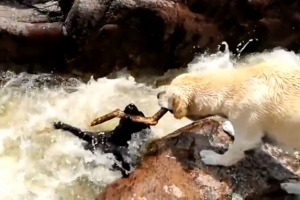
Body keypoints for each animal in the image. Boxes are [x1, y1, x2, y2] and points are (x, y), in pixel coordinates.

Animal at [157, 63, 300, 195]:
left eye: (167, 93)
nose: (158, 94)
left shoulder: (248, 113)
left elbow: (240, 147)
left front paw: (211, 156)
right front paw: (229, 127)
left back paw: (290, 187)